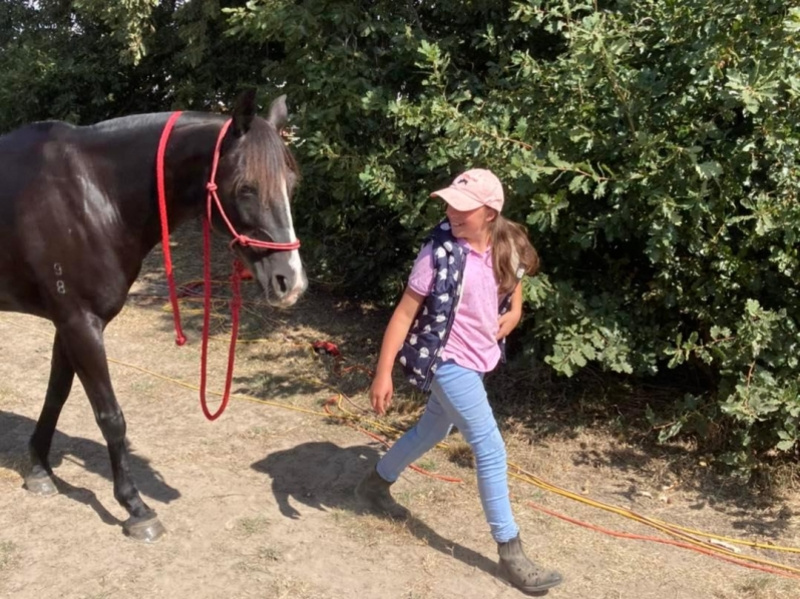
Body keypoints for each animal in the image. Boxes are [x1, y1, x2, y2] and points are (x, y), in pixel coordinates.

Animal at [0, 90, 307, 542]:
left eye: (291, 184)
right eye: (246, 187)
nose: (291, 281)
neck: (91, 195)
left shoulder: (68, 322)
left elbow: (57, 393)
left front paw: (39, 468)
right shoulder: (80, 324)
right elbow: (111, 417)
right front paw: (135, 506)